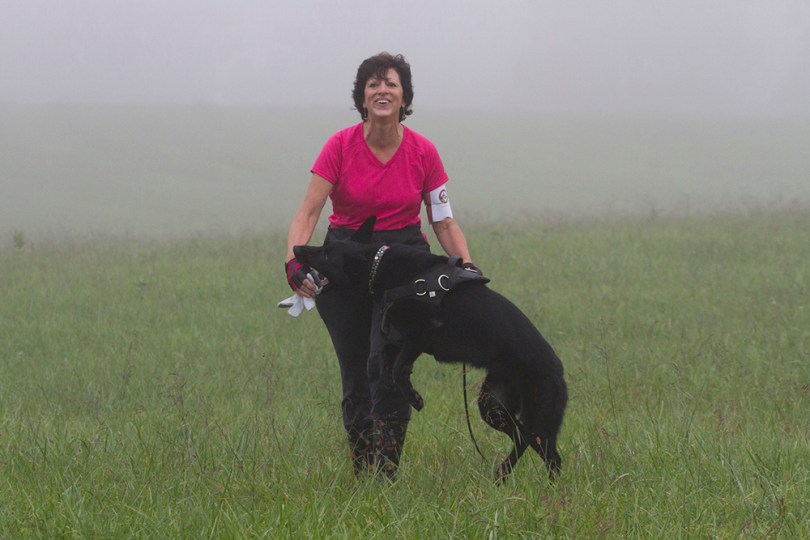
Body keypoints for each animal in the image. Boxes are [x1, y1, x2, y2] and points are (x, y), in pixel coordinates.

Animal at [294, 217, 567, 482]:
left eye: (326, 253)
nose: (296, 248)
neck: (378, 266)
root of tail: (559, 372)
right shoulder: (402, 336)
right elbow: (387, 358)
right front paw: (399, 385)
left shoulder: (424, 331)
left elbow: (397, 366)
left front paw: (413, 396)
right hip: (492, 405)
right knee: (522, 439)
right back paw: (502, 476)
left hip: (534, 416)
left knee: (548, 453)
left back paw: (549, 489)